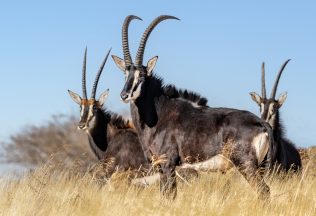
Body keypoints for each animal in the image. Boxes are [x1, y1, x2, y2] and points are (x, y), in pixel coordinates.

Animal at [112, 14, 276, 199]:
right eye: (125, 74)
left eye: (141, 75)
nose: (124, 95)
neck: (159, 114)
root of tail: (262, 123)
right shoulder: (161, 167)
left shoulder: (168, 164)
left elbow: (170, 195)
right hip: (258, 166)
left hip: (245, 164)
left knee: (264, 191)